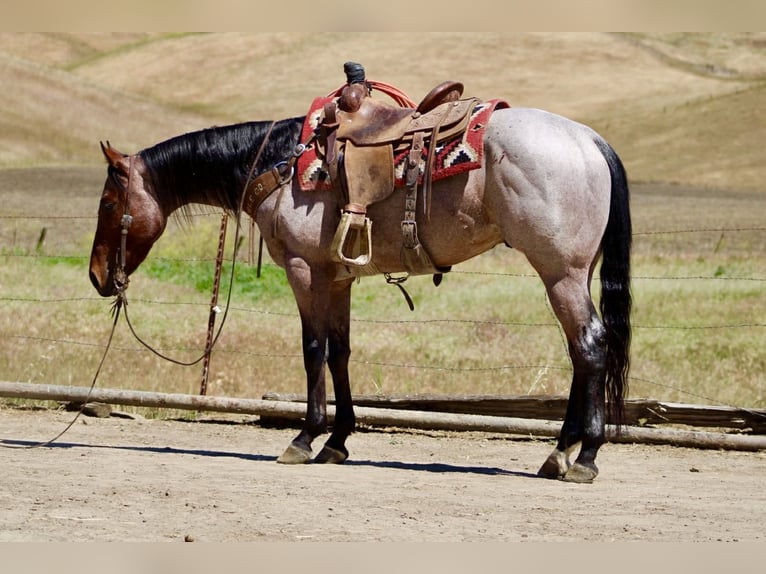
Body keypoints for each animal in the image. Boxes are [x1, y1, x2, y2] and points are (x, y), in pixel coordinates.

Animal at [89, 101, 632, 483]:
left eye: (109, 203)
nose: (97, 276)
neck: (279, 164)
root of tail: (589, 140)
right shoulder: (338, 278)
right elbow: (340, 352)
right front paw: (337, 441)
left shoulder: (305, 271)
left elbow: (312, 349)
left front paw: (304, 438)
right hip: (576, 273)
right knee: (580, 351)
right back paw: (559, 453)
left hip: (560, 272)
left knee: (589, 347)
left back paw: (583, 456)